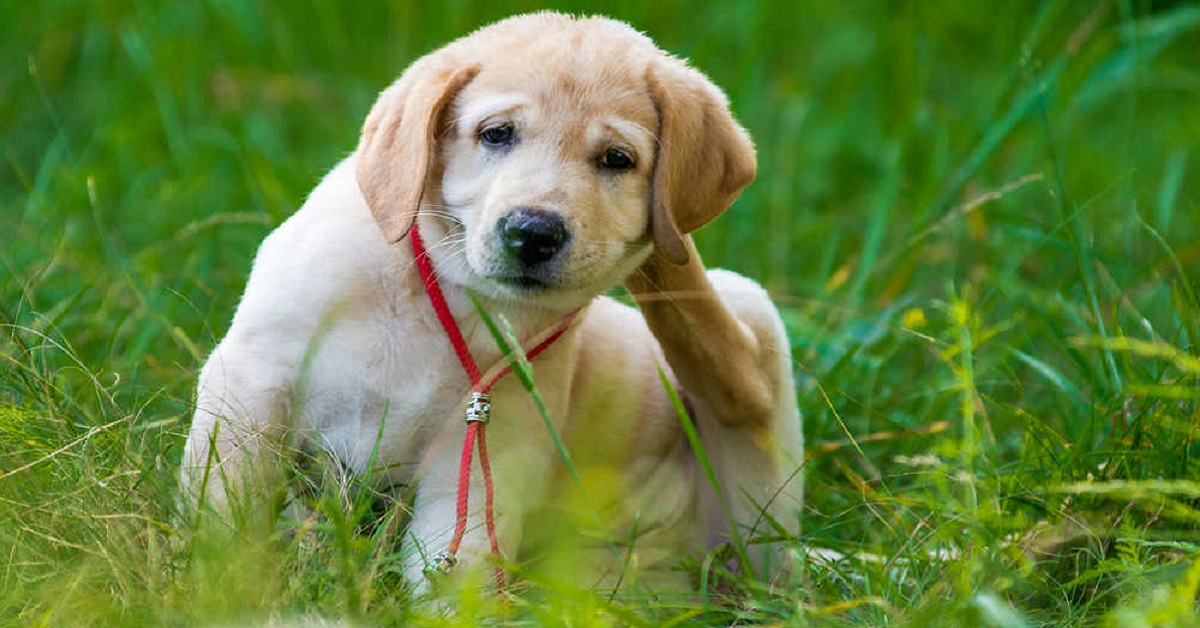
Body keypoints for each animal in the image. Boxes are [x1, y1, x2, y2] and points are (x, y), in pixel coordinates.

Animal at [180, 13, 806, 595]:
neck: (446, 294)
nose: (533, 232)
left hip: (749, 400)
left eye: (617, 159)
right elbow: (227, 508)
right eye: (497, 134)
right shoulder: (254, 381)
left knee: (737, 382)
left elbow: (456, 576)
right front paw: (220, 586)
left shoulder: (486, 454)